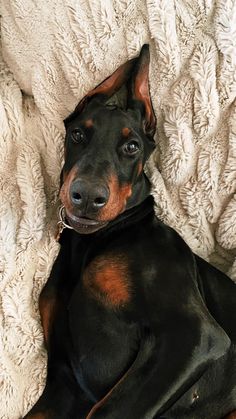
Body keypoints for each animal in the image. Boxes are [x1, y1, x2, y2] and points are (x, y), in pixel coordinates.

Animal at [24, 44, 236, 418]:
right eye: (78, 135)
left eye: (131, 146)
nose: (87, 196)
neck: (96, 242)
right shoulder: (64, 381)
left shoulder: (194, 334)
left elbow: (106, 411)